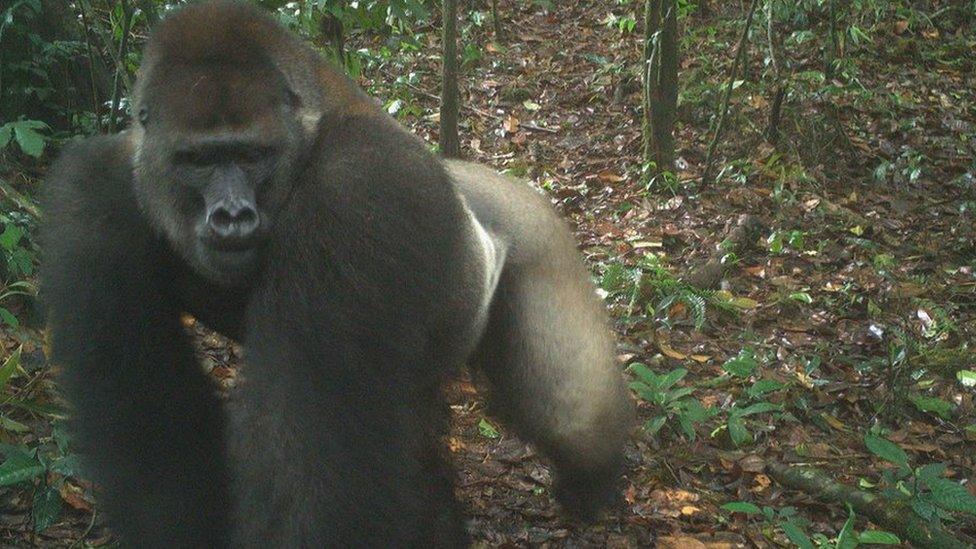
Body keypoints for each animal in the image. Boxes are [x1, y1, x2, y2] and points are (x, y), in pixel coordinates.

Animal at [40, 0, 632, 544]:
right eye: (197, 160)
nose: (231, 215)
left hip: (539, 237)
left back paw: (594, 481)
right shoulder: (92, 194)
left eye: (252, 155)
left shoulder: (358, 194)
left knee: (571, 416)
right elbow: (148, 421)